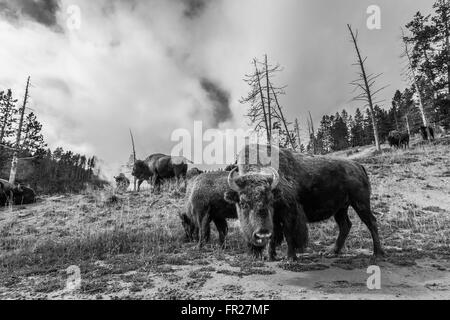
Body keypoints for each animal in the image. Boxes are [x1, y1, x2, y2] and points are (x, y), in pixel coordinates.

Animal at [225, 144, 384, 262]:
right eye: (243, 203)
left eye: (270, 201)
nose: (261, 235)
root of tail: (357, 165)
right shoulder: (274, 219)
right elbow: (274, 235)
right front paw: (270, 257)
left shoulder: (289, 213)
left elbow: (288, 233)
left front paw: (291, 258)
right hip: (341, 208)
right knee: (345, 225)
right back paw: (332, 252)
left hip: (360, 203)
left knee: (371, 222)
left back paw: (377, 253)